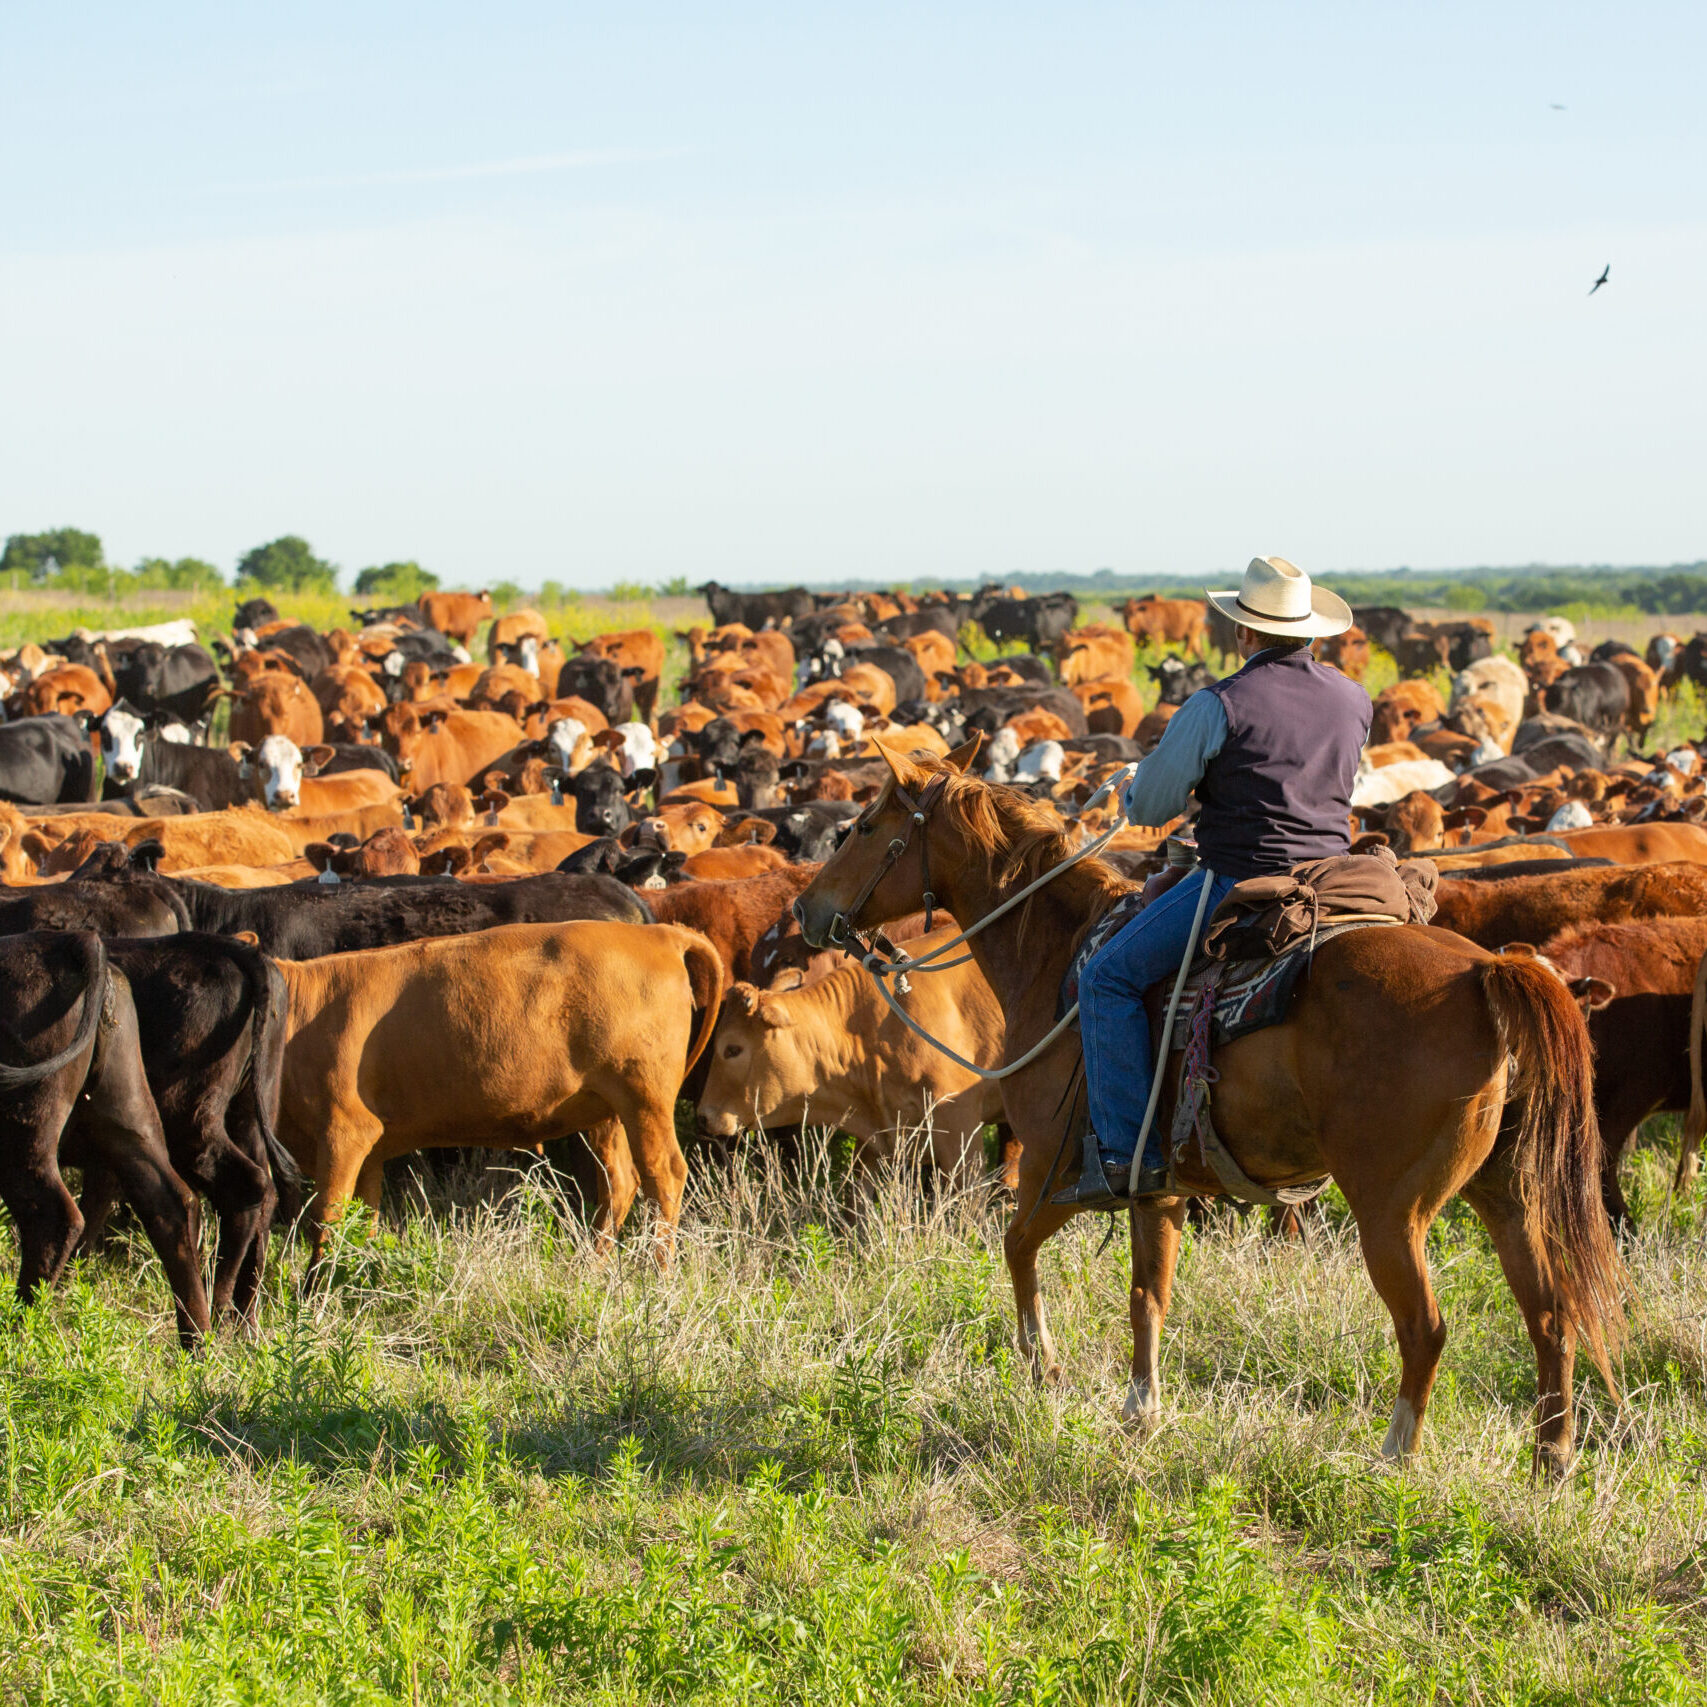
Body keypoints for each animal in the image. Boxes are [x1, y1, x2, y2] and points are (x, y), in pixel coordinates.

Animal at [274, 921, 723, 1264]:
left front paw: (317, 1297)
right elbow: (362, 1217)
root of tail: (658, 933)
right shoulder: (370, 1149)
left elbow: (328, 1218)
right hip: (607, 1109)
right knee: (619, 1182)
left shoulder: (345, 1132)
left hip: (645, 1099)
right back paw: (595, 1266)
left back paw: (658, 1272)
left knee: (664, 1176)